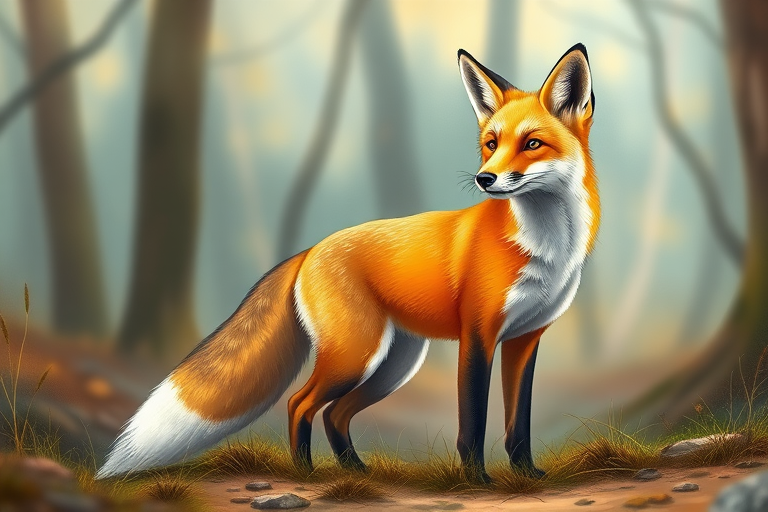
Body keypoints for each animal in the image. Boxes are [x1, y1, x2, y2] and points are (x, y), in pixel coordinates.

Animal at [97, 44, 599, 483]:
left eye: (532, 143)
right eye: (491, 143)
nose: (484, 179)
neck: (547, 246)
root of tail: (310, 250)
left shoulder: (524, 340)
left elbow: (519, 424)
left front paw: (526, 475)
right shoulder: (478, 335)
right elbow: (472, 423)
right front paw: (477, 481)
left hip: (392, 365)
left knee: (335, 413)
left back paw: (355, 470)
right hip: (357, 356)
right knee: (300, 403)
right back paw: (307, 472)